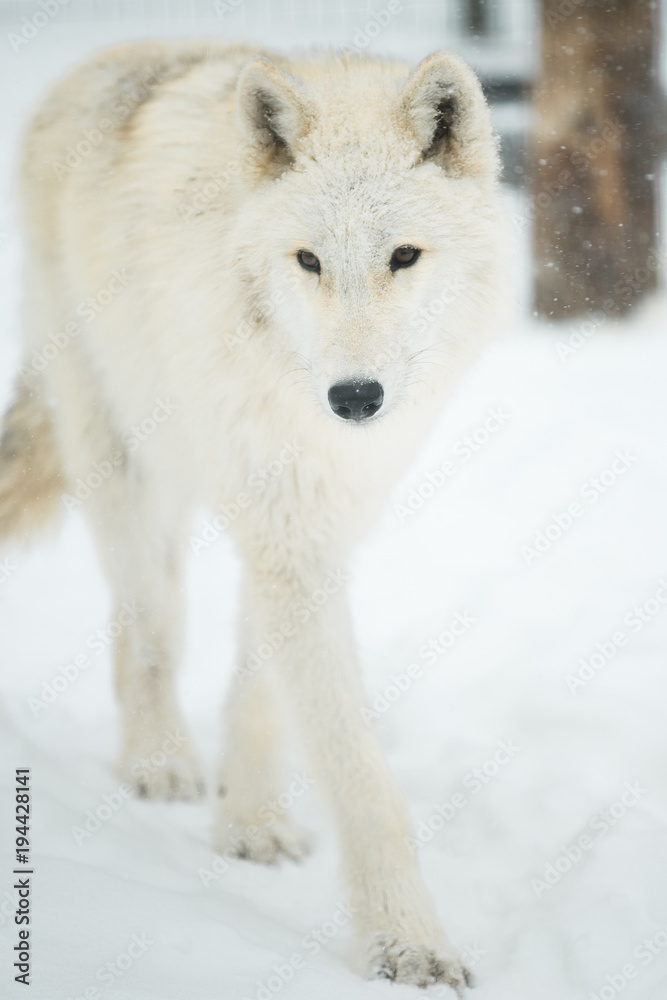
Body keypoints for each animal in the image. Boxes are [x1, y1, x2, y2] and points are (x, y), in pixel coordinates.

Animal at [0, 39, 505, 990]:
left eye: (403, 256)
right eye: (308, 261)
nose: (354, 397)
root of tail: (110, 56)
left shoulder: (314, 525)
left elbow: (264, 692)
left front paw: (254, 823)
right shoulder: (287, 534)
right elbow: (357, 773)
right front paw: (406, 944)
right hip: (121, 456)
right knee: (149, 625)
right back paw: (159, 763)